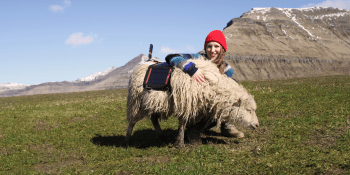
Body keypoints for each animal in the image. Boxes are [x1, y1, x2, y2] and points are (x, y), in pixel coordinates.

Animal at [125, 57, 258, 148]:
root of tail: (139, 67)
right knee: (131, 122)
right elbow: (183, 123)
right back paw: (128, 140)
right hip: (135, 102)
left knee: (153, 119)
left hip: (155, 102)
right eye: (248, 110)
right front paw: (180, 143)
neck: (212, 85)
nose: (257, 125)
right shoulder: (186, 103)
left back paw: (161, 135)